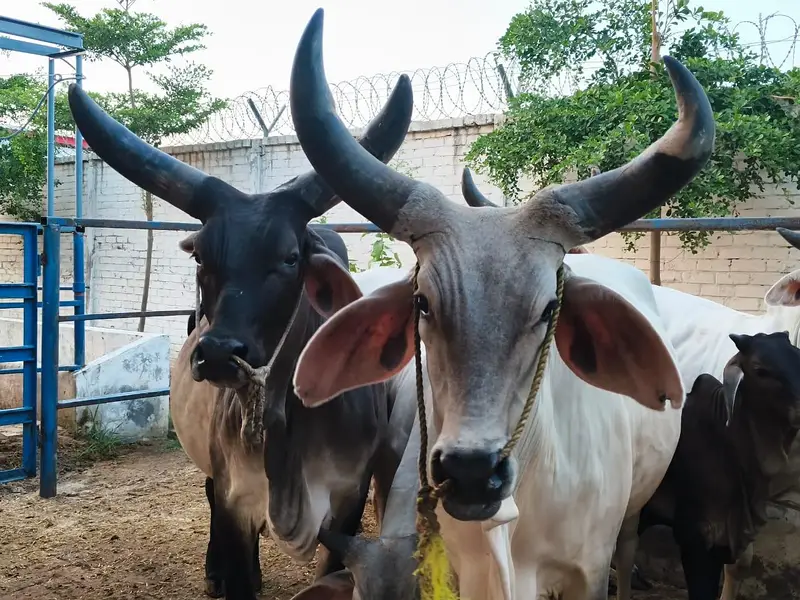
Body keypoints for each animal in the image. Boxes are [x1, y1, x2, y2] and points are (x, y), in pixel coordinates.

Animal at [66, 76, 414, 600]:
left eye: (291, 257)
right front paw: (227, 572)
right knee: (210, 498)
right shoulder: (236, 498)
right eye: (201, 256)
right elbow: (235, 562)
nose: (218, 354)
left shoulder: (348, 500)